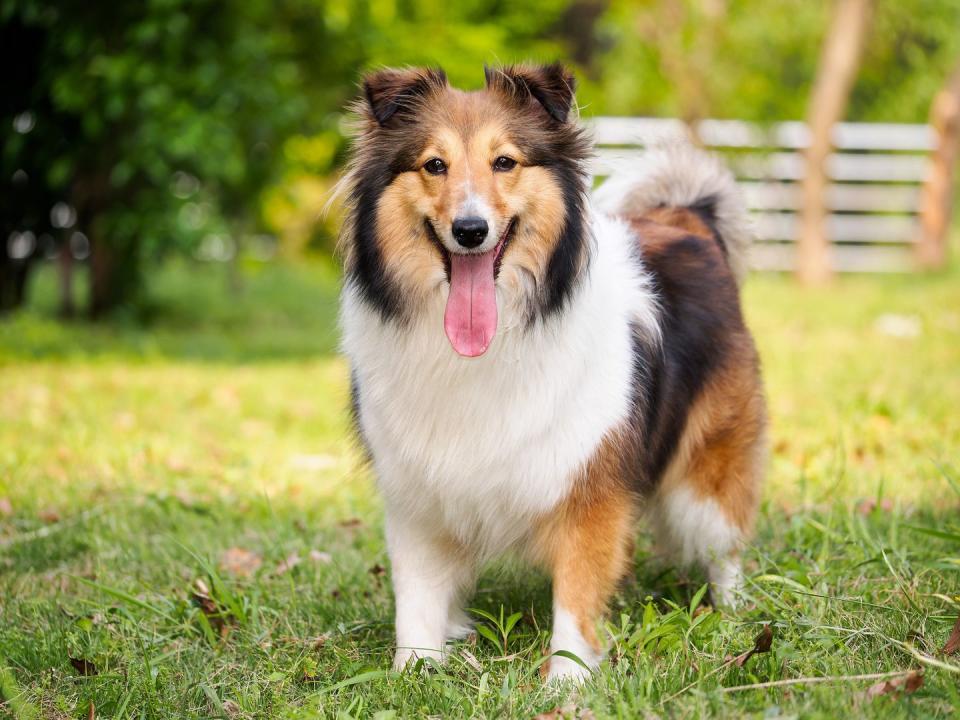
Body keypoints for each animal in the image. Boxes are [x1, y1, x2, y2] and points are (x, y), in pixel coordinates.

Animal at [336, 62, 764, 680]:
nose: (470, 230)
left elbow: (578, 593)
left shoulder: (590, 485)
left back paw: (732, 613)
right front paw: (412, 673)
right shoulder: (416, 493)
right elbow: (416, 596)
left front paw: (568, 680)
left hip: (708, 469)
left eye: (505, 162)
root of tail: (687, 216)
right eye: (434, 165)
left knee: (722, 540)